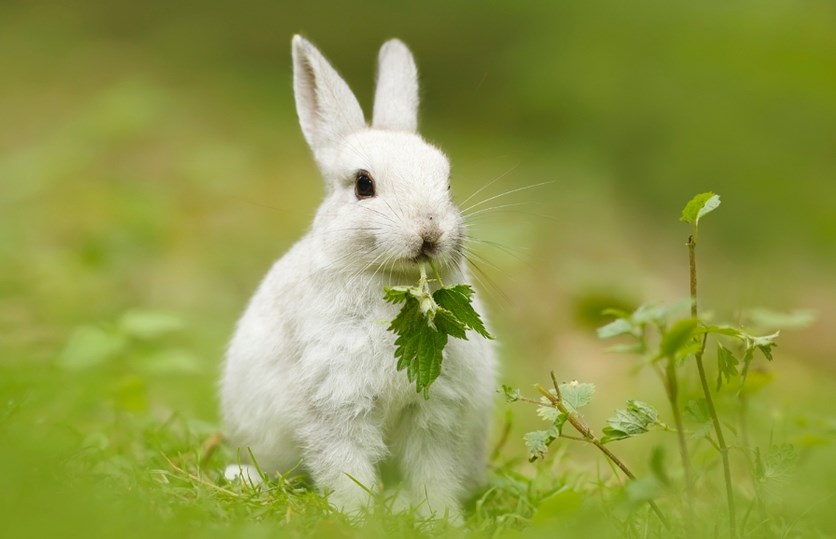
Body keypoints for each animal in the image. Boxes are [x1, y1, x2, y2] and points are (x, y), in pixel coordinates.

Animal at [219, 34, 500, 524]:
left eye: (447, 183)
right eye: (363, 185)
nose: (429, 232)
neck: (393, 286)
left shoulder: (435, 411)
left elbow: (433, 472)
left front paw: (438, 519)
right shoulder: (335, 402)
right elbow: (345, 465)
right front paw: (357, 516)